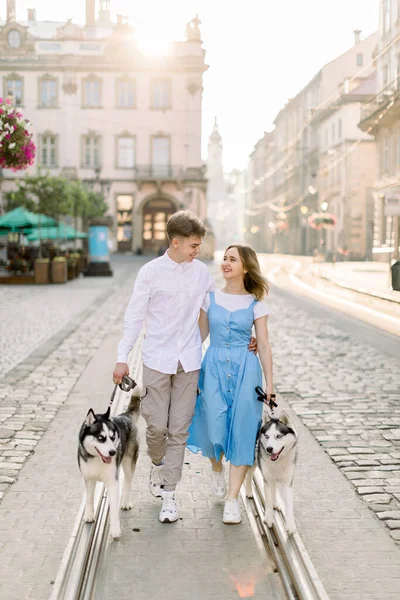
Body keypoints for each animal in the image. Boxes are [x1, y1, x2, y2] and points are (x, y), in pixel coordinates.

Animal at [77, 390, 141, 540]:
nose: (112, 452)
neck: (97, 459)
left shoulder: (112, 482)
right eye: (101, 438)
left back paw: (125, 502)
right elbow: (89, 498)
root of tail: (125, 415)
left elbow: (113, 508)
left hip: (128, 462)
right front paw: (89, 515)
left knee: (128, 481)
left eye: (112, 437)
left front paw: (115, 529)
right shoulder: (89, 478)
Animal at [245, 408, 298, 536]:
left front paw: (290, 525)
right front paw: (268, 519)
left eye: (278, 436)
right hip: (252, 461)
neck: (278, 461)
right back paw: (248, 491)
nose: (269, 449)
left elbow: (289, 505)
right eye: (267, 436)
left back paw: (275, 503)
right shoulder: (267, 480)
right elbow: (268, 500)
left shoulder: (288, 482)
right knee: (248, 475)